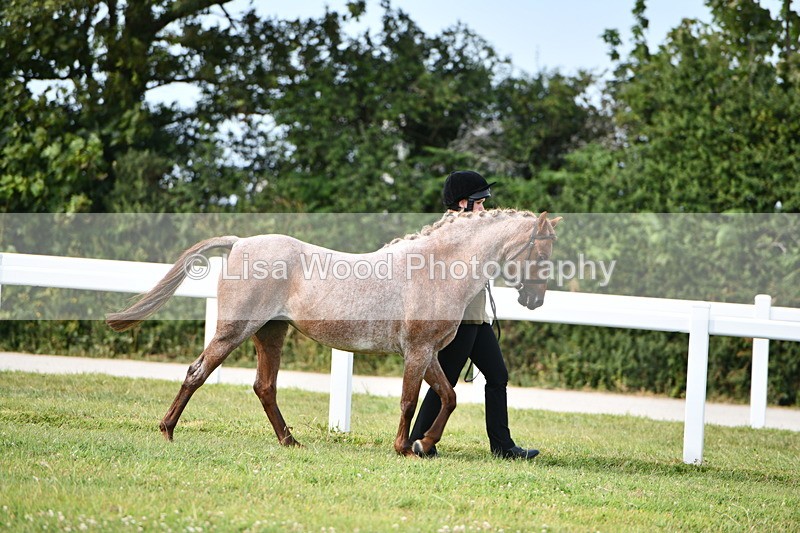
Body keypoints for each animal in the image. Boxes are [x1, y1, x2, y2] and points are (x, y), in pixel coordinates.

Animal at [106, 209, 561, 457]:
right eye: (541, 251)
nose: (535, 300)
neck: (437, 268)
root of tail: (240, 242)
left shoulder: (428, 353)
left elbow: (447, 398)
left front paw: (424, 444)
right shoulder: (416, 352)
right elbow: (409, 400)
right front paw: (405, 447)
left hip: (270, 334)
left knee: (264, 387)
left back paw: (290, 442)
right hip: (234, 330)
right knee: (197, 372)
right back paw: (167, 430)